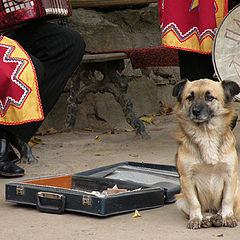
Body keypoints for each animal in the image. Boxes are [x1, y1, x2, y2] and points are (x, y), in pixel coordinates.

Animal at [172, 78, 240, 229]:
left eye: (209, 97)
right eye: (190, 97)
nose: (195, 111)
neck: (206, 135)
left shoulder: (230, 175)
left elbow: (227, 201)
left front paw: (227, 216)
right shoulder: (187, 179)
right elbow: (194, 203)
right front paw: (196, 219)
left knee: (223, 208)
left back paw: (219, 216)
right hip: (180, 200)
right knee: (204, 211)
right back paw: (208, 218)